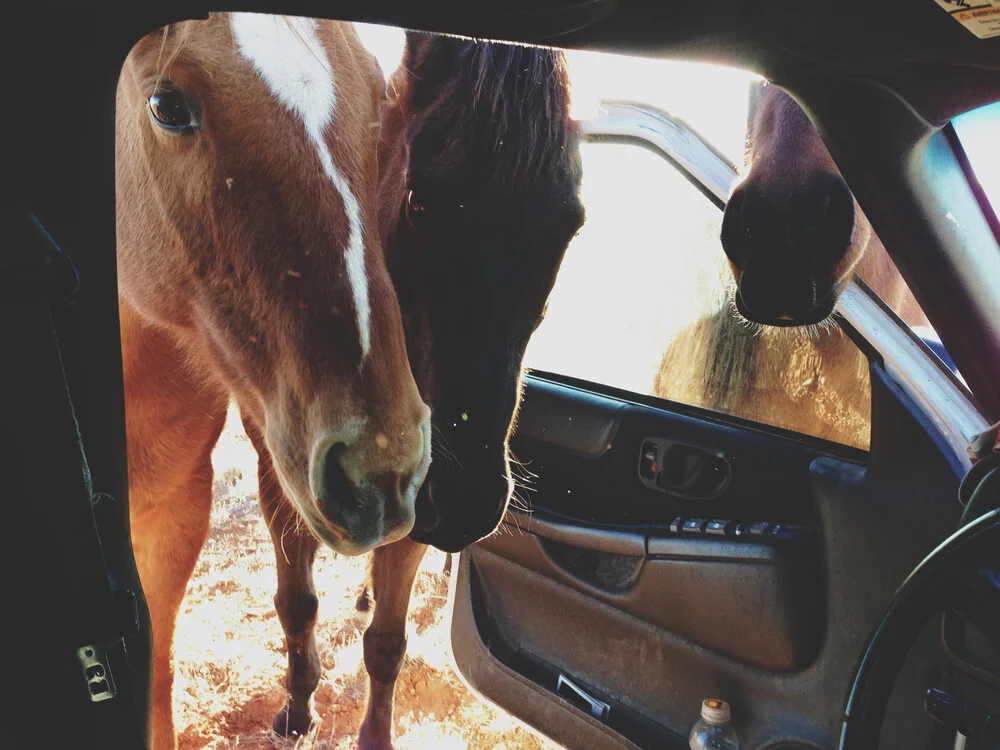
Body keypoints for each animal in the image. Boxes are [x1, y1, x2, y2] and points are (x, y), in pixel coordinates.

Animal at [250, 32, 584, 748]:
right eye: (420, 200)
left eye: (568, 225)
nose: (465, 502)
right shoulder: (275, 464)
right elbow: (296, 602)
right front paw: (297, 707)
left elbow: (386, 645)